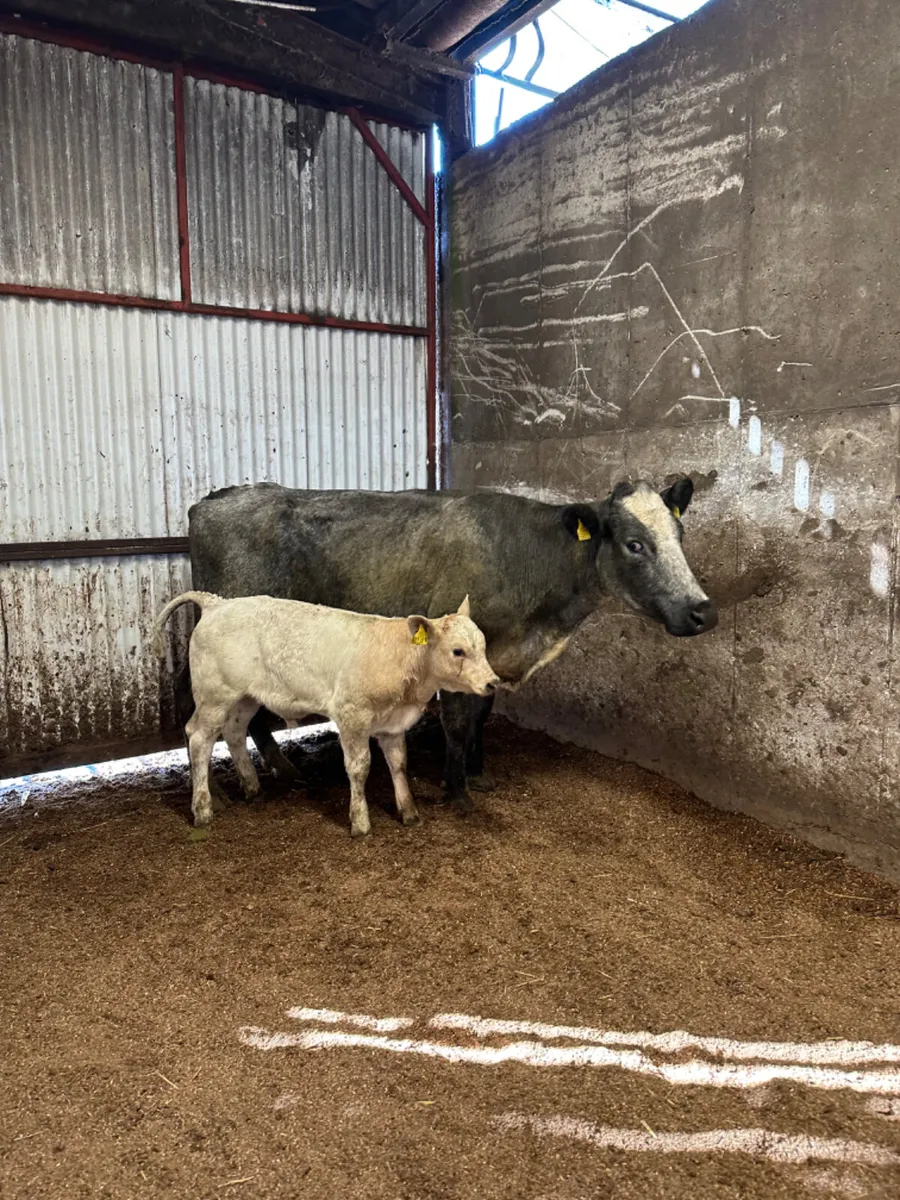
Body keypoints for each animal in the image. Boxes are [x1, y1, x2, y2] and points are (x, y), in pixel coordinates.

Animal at [155, 592, 498, 835]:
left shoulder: (392, 723)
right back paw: (203, 809)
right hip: (214, 696)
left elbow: (399, 764)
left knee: (235, 732)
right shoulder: (352, 715)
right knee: (199, 737)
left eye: (483, 646)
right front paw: (360, 822)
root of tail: (216, 603)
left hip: (244, 698)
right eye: (457, 651)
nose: (493, 682)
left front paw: (409, 812)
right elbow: (359, 768)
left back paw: (252, 787)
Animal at [181, 477, 717, 812]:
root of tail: (217, 497)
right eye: (634, 543)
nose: (703, 612)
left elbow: (482, 713)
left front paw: (477, 772)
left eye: (680, 534)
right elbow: (458, 723)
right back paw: (260, 778)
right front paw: (457, 792)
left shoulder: (490, 657)